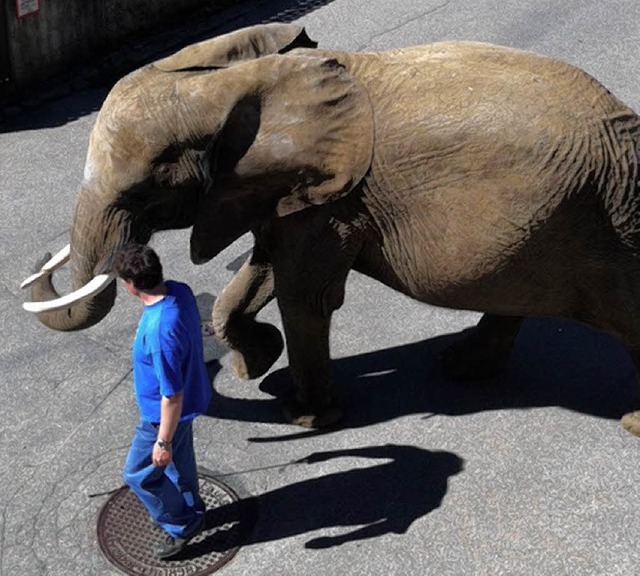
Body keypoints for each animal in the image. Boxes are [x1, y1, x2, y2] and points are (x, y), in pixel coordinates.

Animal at [22, 24, 640, 432]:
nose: (39, 263)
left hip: (598, 224)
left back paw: (629, 423)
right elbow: (260, 274)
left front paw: (304, 416)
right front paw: (258, 363)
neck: (233, 82)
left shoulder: (333, 198)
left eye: (142, 189)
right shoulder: (286, 193)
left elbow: (304, 295)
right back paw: (462, 368)